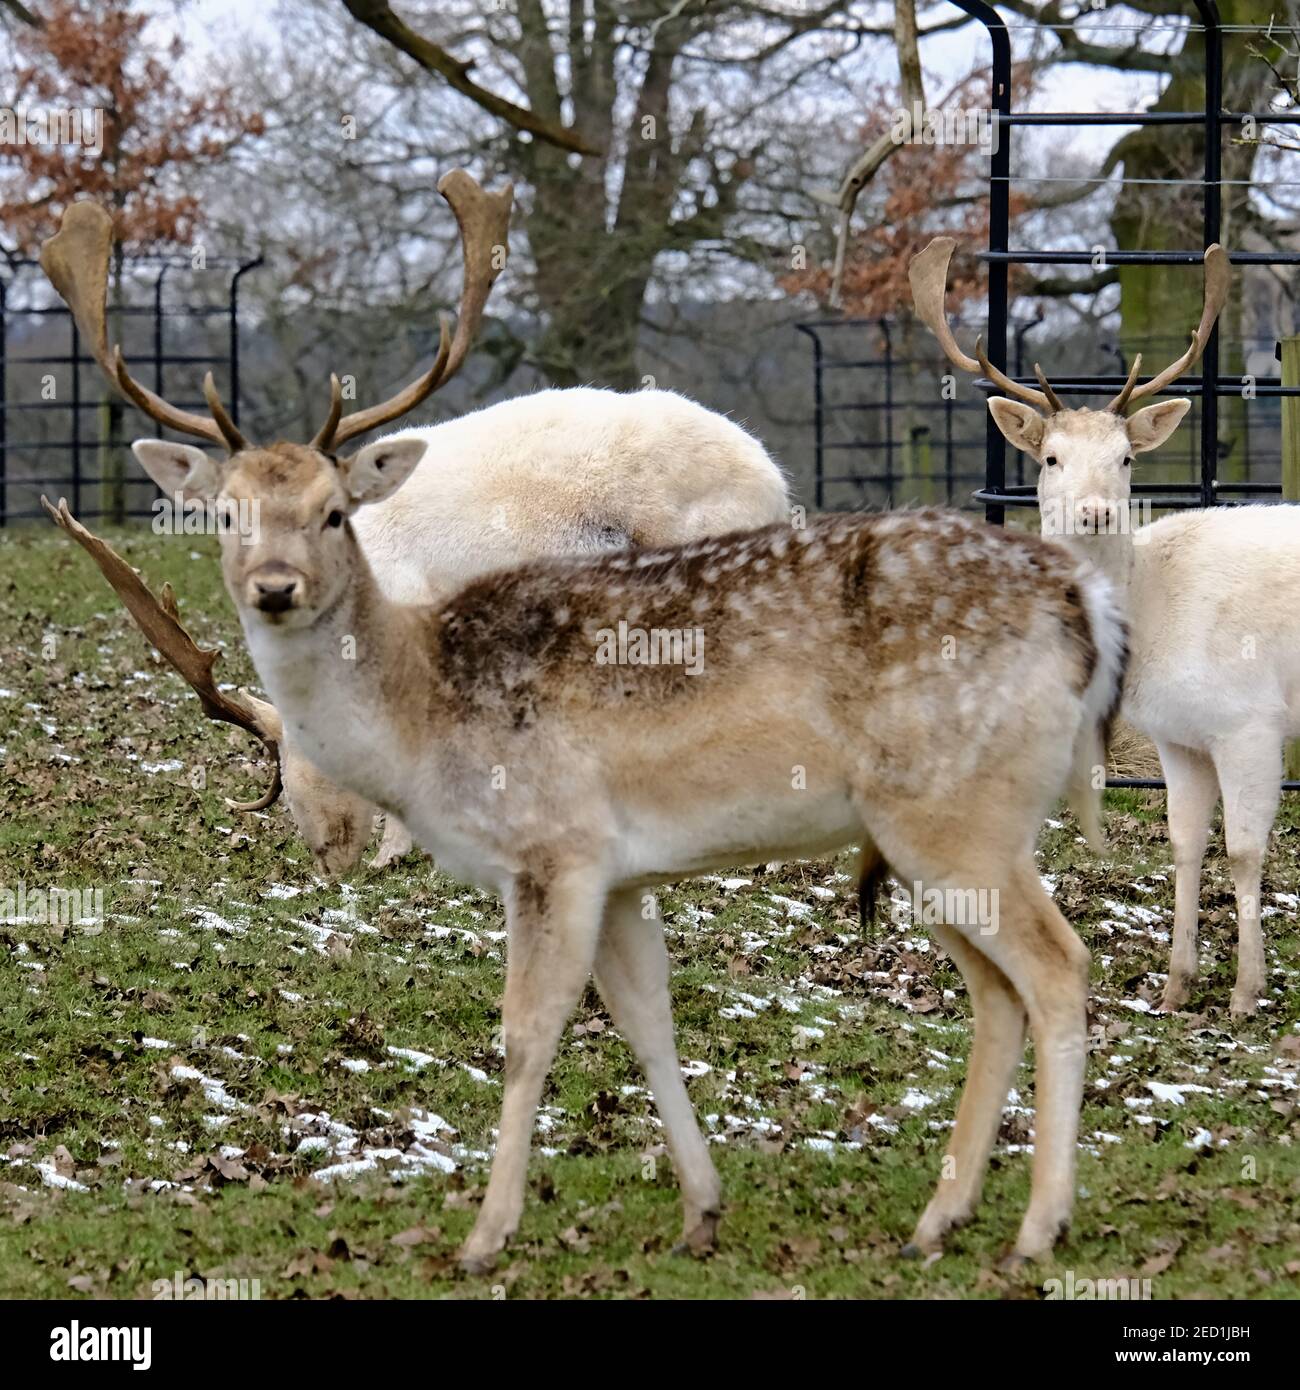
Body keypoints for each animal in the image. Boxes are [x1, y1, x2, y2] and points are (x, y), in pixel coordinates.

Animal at [912, 241, 1284, 1023]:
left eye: (1127, 459)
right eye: (1049, 458)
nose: (1094, 512)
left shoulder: (1251, 719)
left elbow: (1243, 850)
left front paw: (1246, 992)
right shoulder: (1181, 734)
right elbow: (1185, 842)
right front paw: (1175, 986)